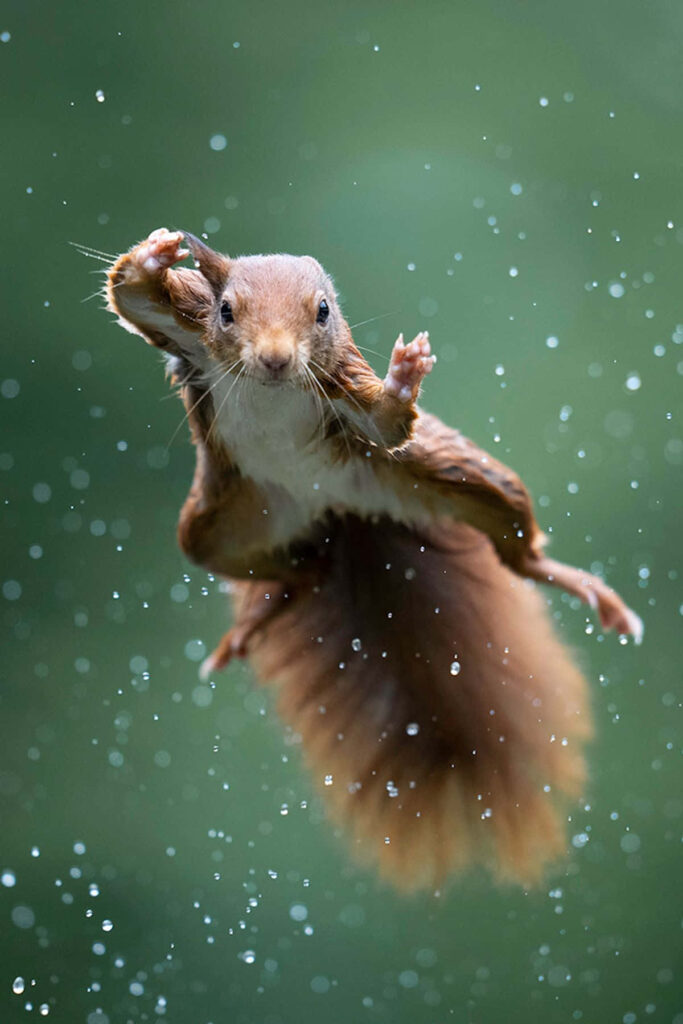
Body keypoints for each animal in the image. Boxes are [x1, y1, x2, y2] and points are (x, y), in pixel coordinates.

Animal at [105, 227, 643, 890]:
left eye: (322, 311)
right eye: (226, 310)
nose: (276, 359)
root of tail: (339, 510)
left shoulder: (343, 388)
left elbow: (387, 423)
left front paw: (405, 375)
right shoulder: (189, 332)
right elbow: (132, 297)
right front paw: (156, 253)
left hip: (456, 477)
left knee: (516, 549)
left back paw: (590, 591)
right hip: (219, 526)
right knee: (299, 571)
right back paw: (257, 620)